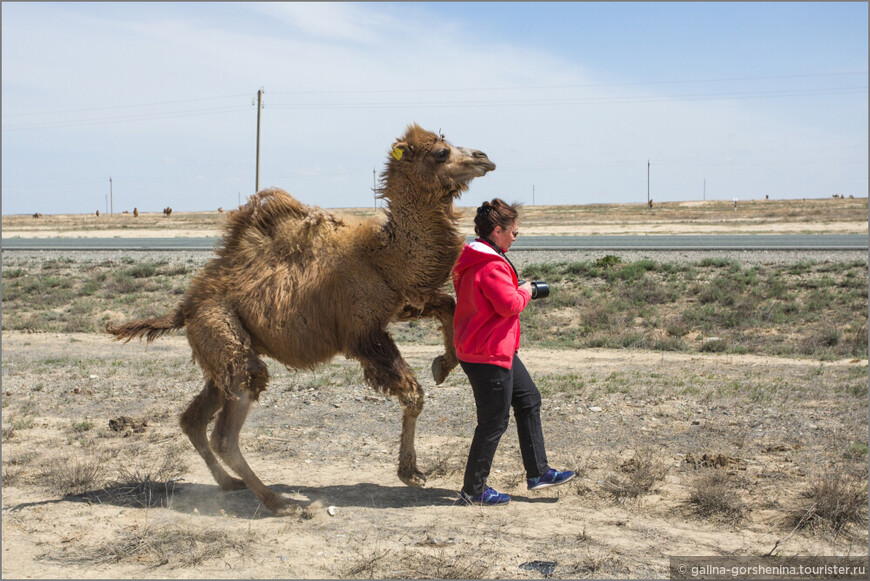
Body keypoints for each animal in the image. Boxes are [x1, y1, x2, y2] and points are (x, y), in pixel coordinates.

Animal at [107, 124, 498, 516]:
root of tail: (183, 308)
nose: (484, 157)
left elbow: (448, 305)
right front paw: (410, 473)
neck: (382, 257)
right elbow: (413, 395)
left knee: (194, 418)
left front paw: (443, 364)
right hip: (223, 334)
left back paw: (231, 483)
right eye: (441, 152)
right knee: (227, 430)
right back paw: (280, 502)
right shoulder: (362, 333)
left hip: (218, 353)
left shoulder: (402, 302)